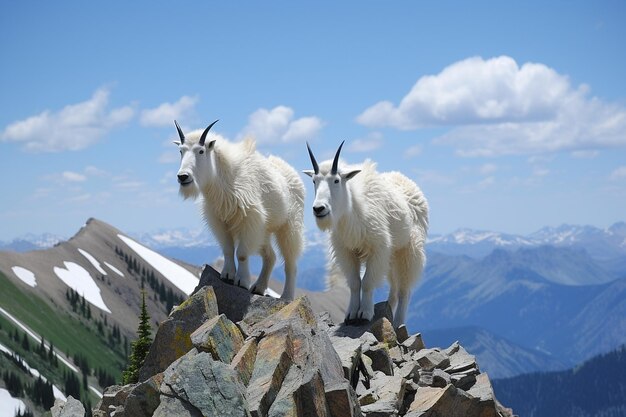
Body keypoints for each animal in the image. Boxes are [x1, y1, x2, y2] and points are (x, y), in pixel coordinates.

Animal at [174, 120, 304, 300]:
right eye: (181, 150)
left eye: (201, 151)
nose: (183, 177)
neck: (223, 179)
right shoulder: (219, 221)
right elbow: (228, 249)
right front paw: (228, 275)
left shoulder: (249, 219)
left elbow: (242, 253)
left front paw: (242, 281)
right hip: (264, 230)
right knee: (270, 256)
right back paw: (258, 287)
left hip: (289, 226)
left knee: (291, 262)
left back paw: (287, 296)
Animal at [304, 141, 428, 326]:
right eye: (314, 180)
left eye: (336, 180)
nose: (319, 209)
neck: (351, 209)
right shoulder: (346, 251)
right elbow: (355, 283)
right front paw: (350, 314)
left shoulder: (378, 247)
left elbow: (368, 282)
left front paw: (365, 313)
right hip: (392, 255)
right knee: (394, 287)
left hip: (408, 251)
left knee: (404, 289)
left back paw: (398, 322)